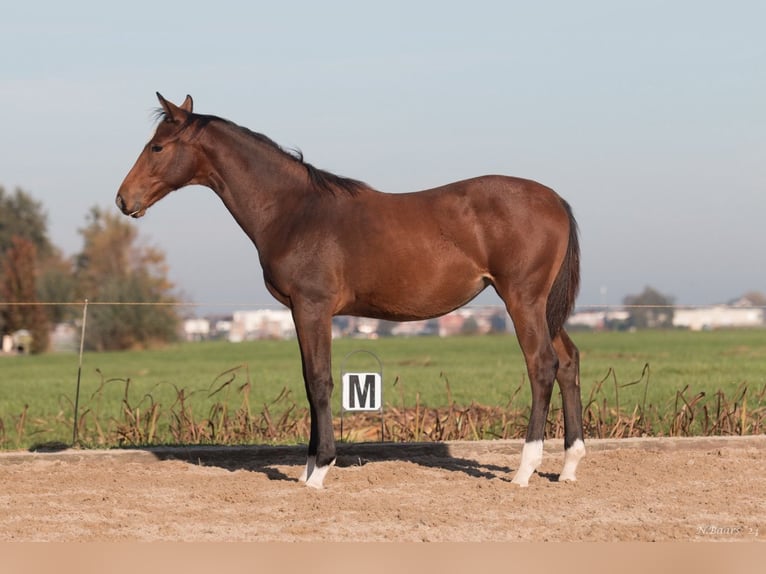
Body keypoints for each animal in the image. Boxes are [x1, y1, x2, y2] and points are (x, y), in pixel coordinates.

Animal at [115, 92, 588, 488]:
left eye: (157, 147)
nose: (123, 199)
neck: (294, 211)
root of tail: (556, 200)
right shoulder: (299, 311)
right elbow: (309, 380)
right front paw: (308, 467)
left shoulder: (313, 307)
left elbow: (319, 381)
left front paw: (319, 472)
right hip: (543, 307)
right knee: (567, 361)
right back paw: (568, 467)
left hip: (522, 300)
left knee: (542, 365)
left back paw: (524, 471)